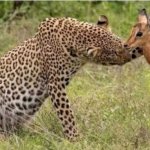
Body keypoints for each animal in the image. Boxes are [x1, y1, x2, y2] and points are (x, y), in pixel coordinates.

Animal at [0, 15, 142, 141]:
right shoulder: (55, 84)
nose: (128, 56)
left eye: (123, 44)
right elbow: (67, 115)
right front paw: (76, 139)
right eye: (114, 53)